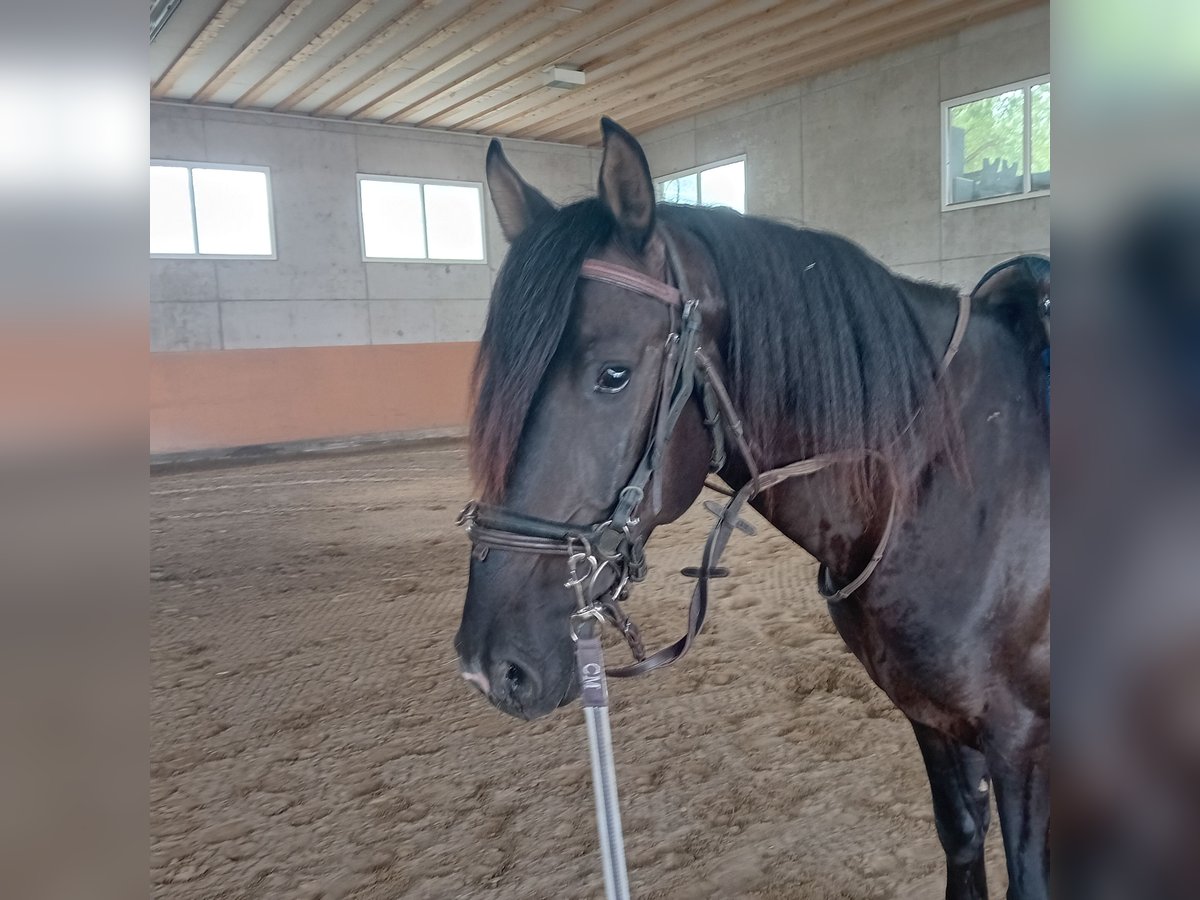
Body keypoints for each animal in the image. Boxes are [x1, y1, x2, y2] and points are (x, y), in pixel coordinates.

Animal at [453, 121, 1046, 900]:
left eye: (613, 374)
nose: (490, 666)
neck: (953, 476)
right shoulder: (934, 720)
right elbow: (963, 840)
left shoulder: (1022, 739)